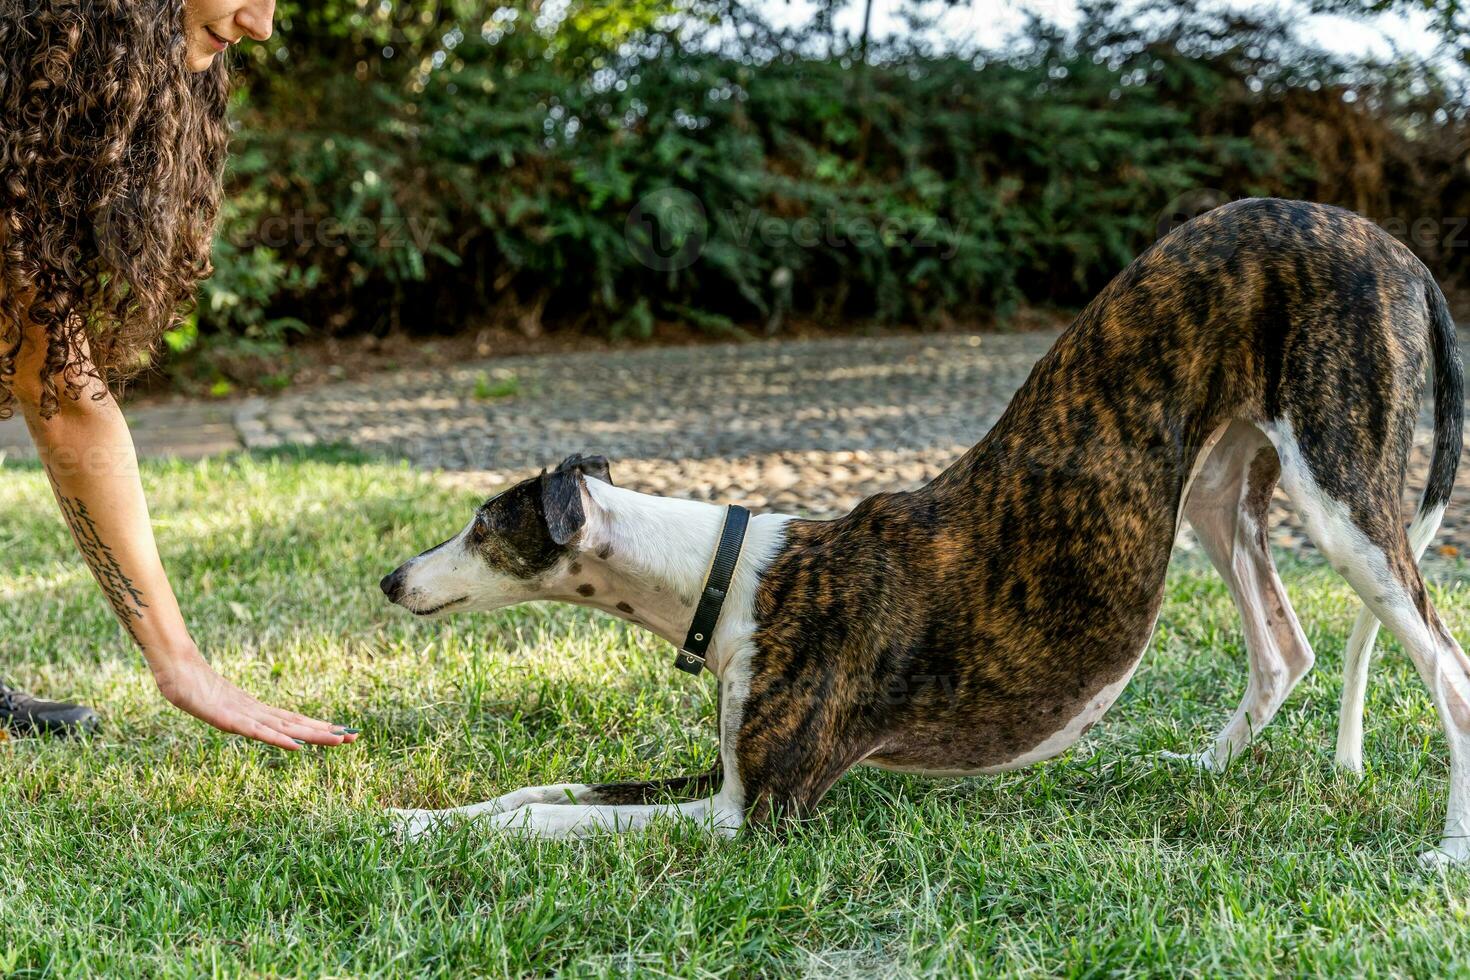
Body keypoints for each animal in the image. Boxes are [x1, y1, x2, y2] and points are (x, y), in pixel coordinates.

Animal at [382, 199, 1470, 863]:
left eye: (481, 528)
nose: (392, 580)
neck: (733, 574)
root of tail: (1398, 249)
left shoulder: (752, 814)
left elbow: (551, 818)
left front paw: (426, 832)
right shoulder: (723, 773)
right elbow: (547, 787)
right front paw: (422, 813)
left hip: (1342, 495)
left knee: (1447, 667)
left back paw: (1446, 849)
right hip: (1216, 490)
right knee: (1284, 648)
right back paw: (1195, 770)